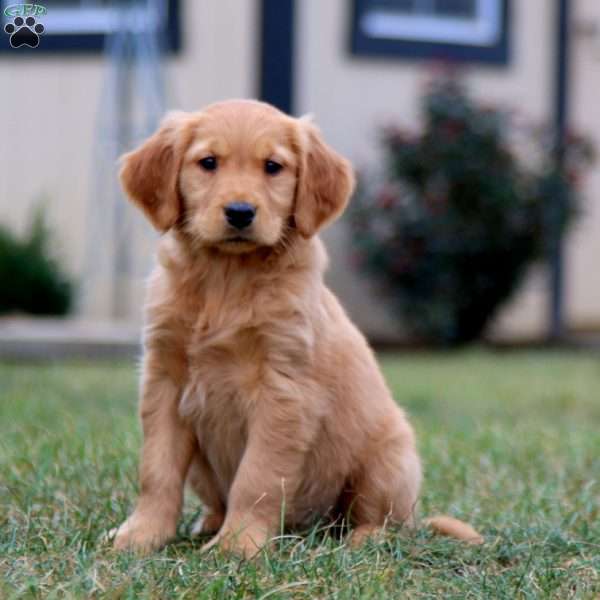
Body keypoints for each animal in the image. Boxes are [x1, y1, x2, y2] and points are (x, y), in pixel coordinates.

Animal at [110, 99, 480, 556]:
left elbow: (257, 476)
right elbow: (156, 470)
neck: (226, 278)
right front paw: (142, 535)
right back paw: (209, 522)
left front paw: (238, 545)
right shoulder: (164, 378)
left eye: (273, 166)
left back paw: (362, 538)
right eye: (208, 162)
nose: (240, 212)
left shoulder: (284, 390)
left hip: (389, 458)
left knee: (388, 523)